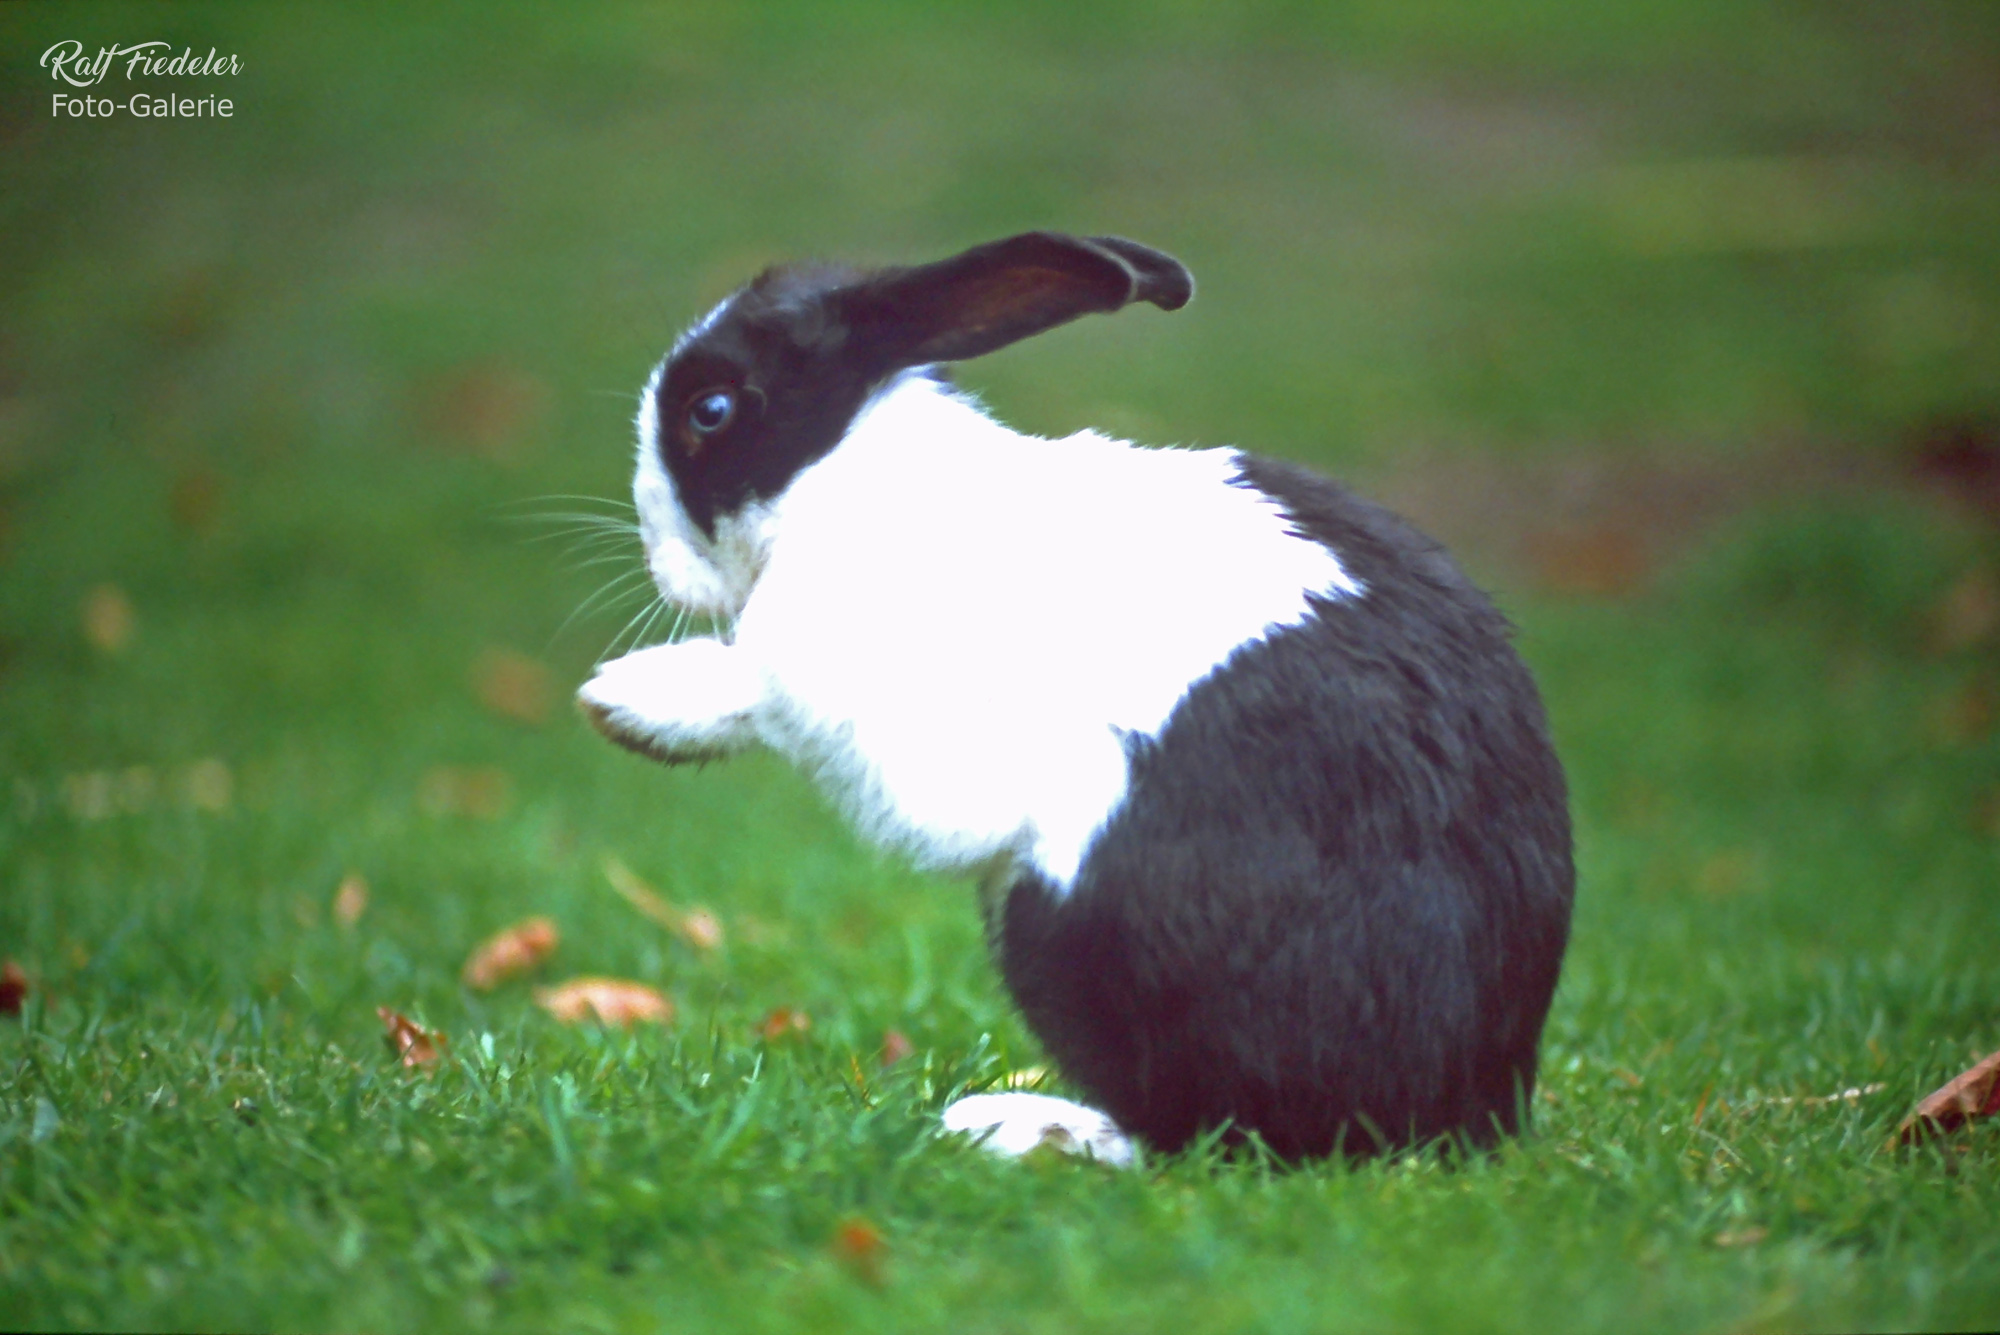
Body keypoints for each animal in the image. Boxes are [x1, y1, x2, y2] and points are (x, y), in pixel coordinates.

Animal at [578, 231, 1573, 1163]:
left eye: (710, 410)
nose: (660, 565)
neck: (848, 486)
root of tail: (1468, 1102)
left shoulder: (893, 724)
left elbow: (781, 702)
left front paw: (632, 699)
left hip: (1060, 919)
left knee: (1217, 1133)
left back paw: (1018, 1126)